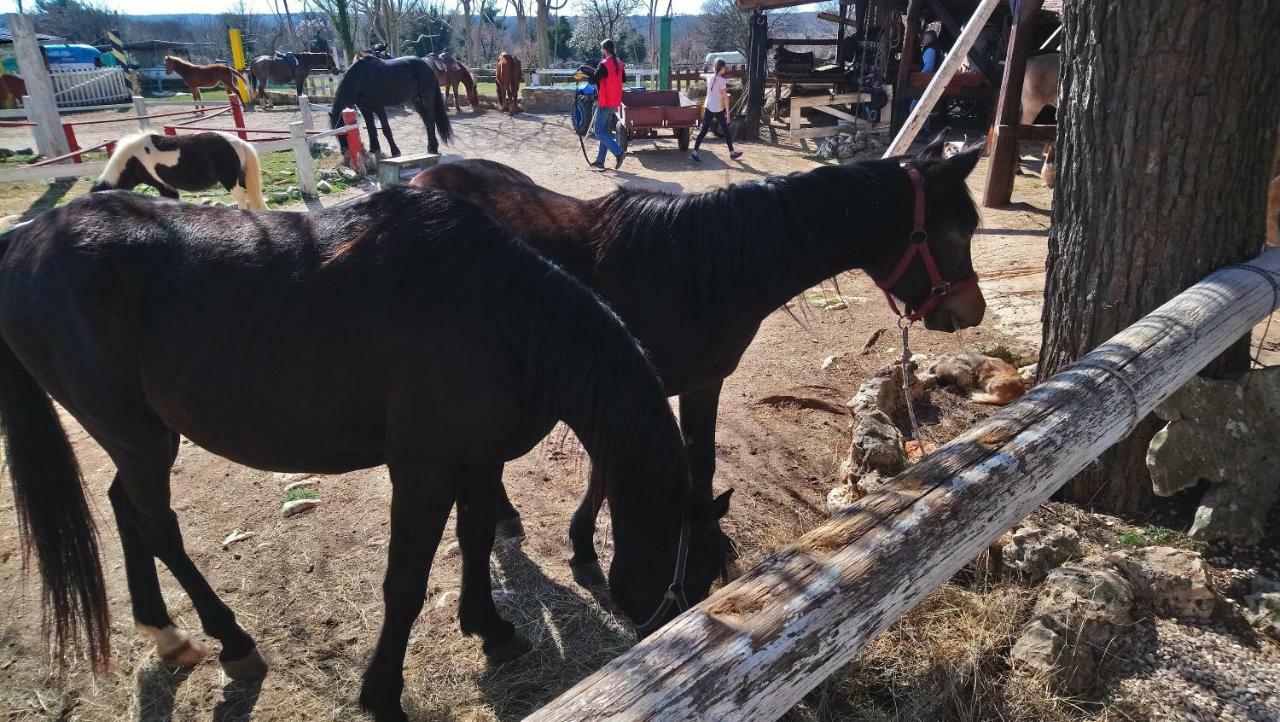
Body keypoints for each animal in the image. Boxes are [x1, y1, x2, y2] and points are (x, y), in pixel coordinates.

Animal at [0, 188, 732, 722]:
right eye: (693, 574)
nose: (664, 633)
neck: (499, 317)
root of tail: (25, 240)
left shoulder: (477, 460)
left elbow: (474, 541)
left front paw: (491, 631)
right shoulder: (423, 471)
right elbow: (404, 584)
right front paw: (382, 694)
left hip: (137, 437)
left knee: (125, 508)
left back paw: (165, 631)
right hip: (138, 436)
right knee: (157, 526)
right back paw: (232, 642)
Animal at [93, 131, 268, 209]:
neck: (133, 159)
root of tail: (239, 142)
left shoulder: (165, 188)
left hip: (230, 182)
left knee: (242, 199)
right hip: (240, 179)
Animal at [414, 139, 983, 586]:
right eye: (958, 233)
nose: (972, 310)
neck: (690, 271)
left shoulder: (700, 384)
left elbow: (701, 460)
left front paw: (709, 536)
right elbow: (607, 470)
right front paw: (583, 547)